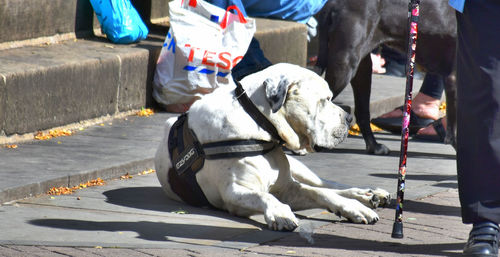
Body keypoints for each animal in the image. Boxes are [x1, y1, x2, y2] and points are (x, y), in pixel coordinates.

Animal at [156, 62, 390, 230]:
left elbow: (321, 193)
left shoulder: (289, 187)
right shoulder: (234, 192)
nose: (349, 118)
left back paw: (368, 194)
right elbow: (265, 195)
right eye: (324, 100)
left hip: (298, 168)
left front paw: (354, 207)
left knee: (326, 184)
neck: (257, 123)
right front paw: (280, 213)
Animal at [316, 0, 458, 154]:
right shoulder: (454, 79)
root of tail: (334, 3)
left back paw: (374, 146)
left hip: (362, 67)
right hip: (344, 65)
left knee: (362, 112)